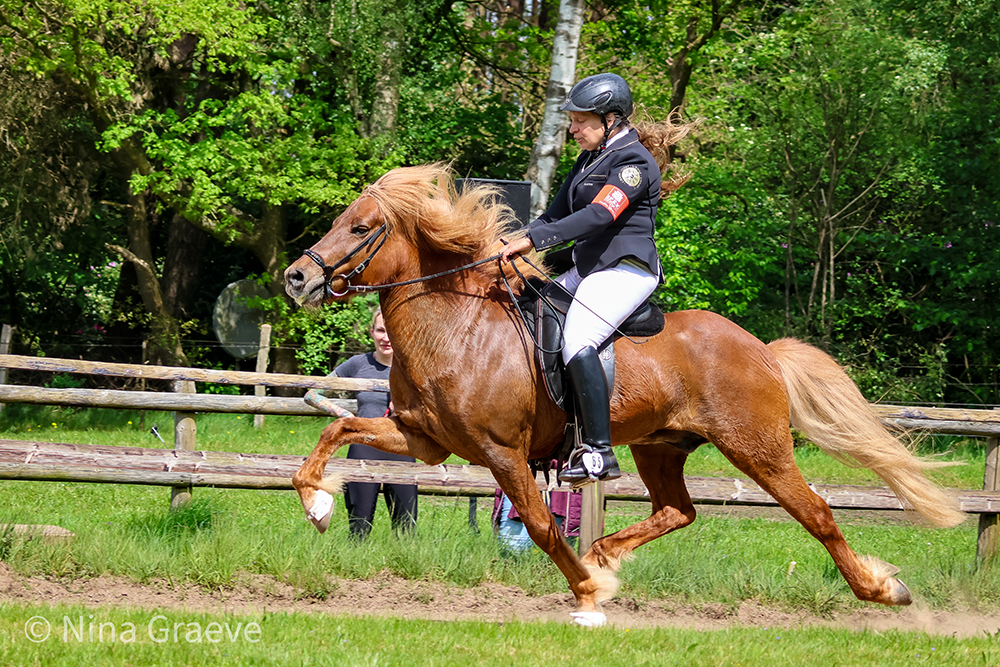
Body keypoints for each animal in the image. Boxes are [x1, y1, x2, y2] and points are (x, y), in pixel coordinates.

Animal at [282, 162, 960, 628]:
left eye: (361, 227)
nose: (296, 277)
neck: (458, 326)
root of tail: (762, 350)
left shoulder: (501, 453)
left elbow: (539, 523)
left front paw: (588, 592)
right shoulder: (423, 439)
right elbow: (334, 431)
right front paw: (318, 505)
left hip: (757, 447)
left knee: (815, 512)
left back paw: (883, 590)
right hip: (661, 447)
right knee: (679, 510)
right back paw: (606, 551)